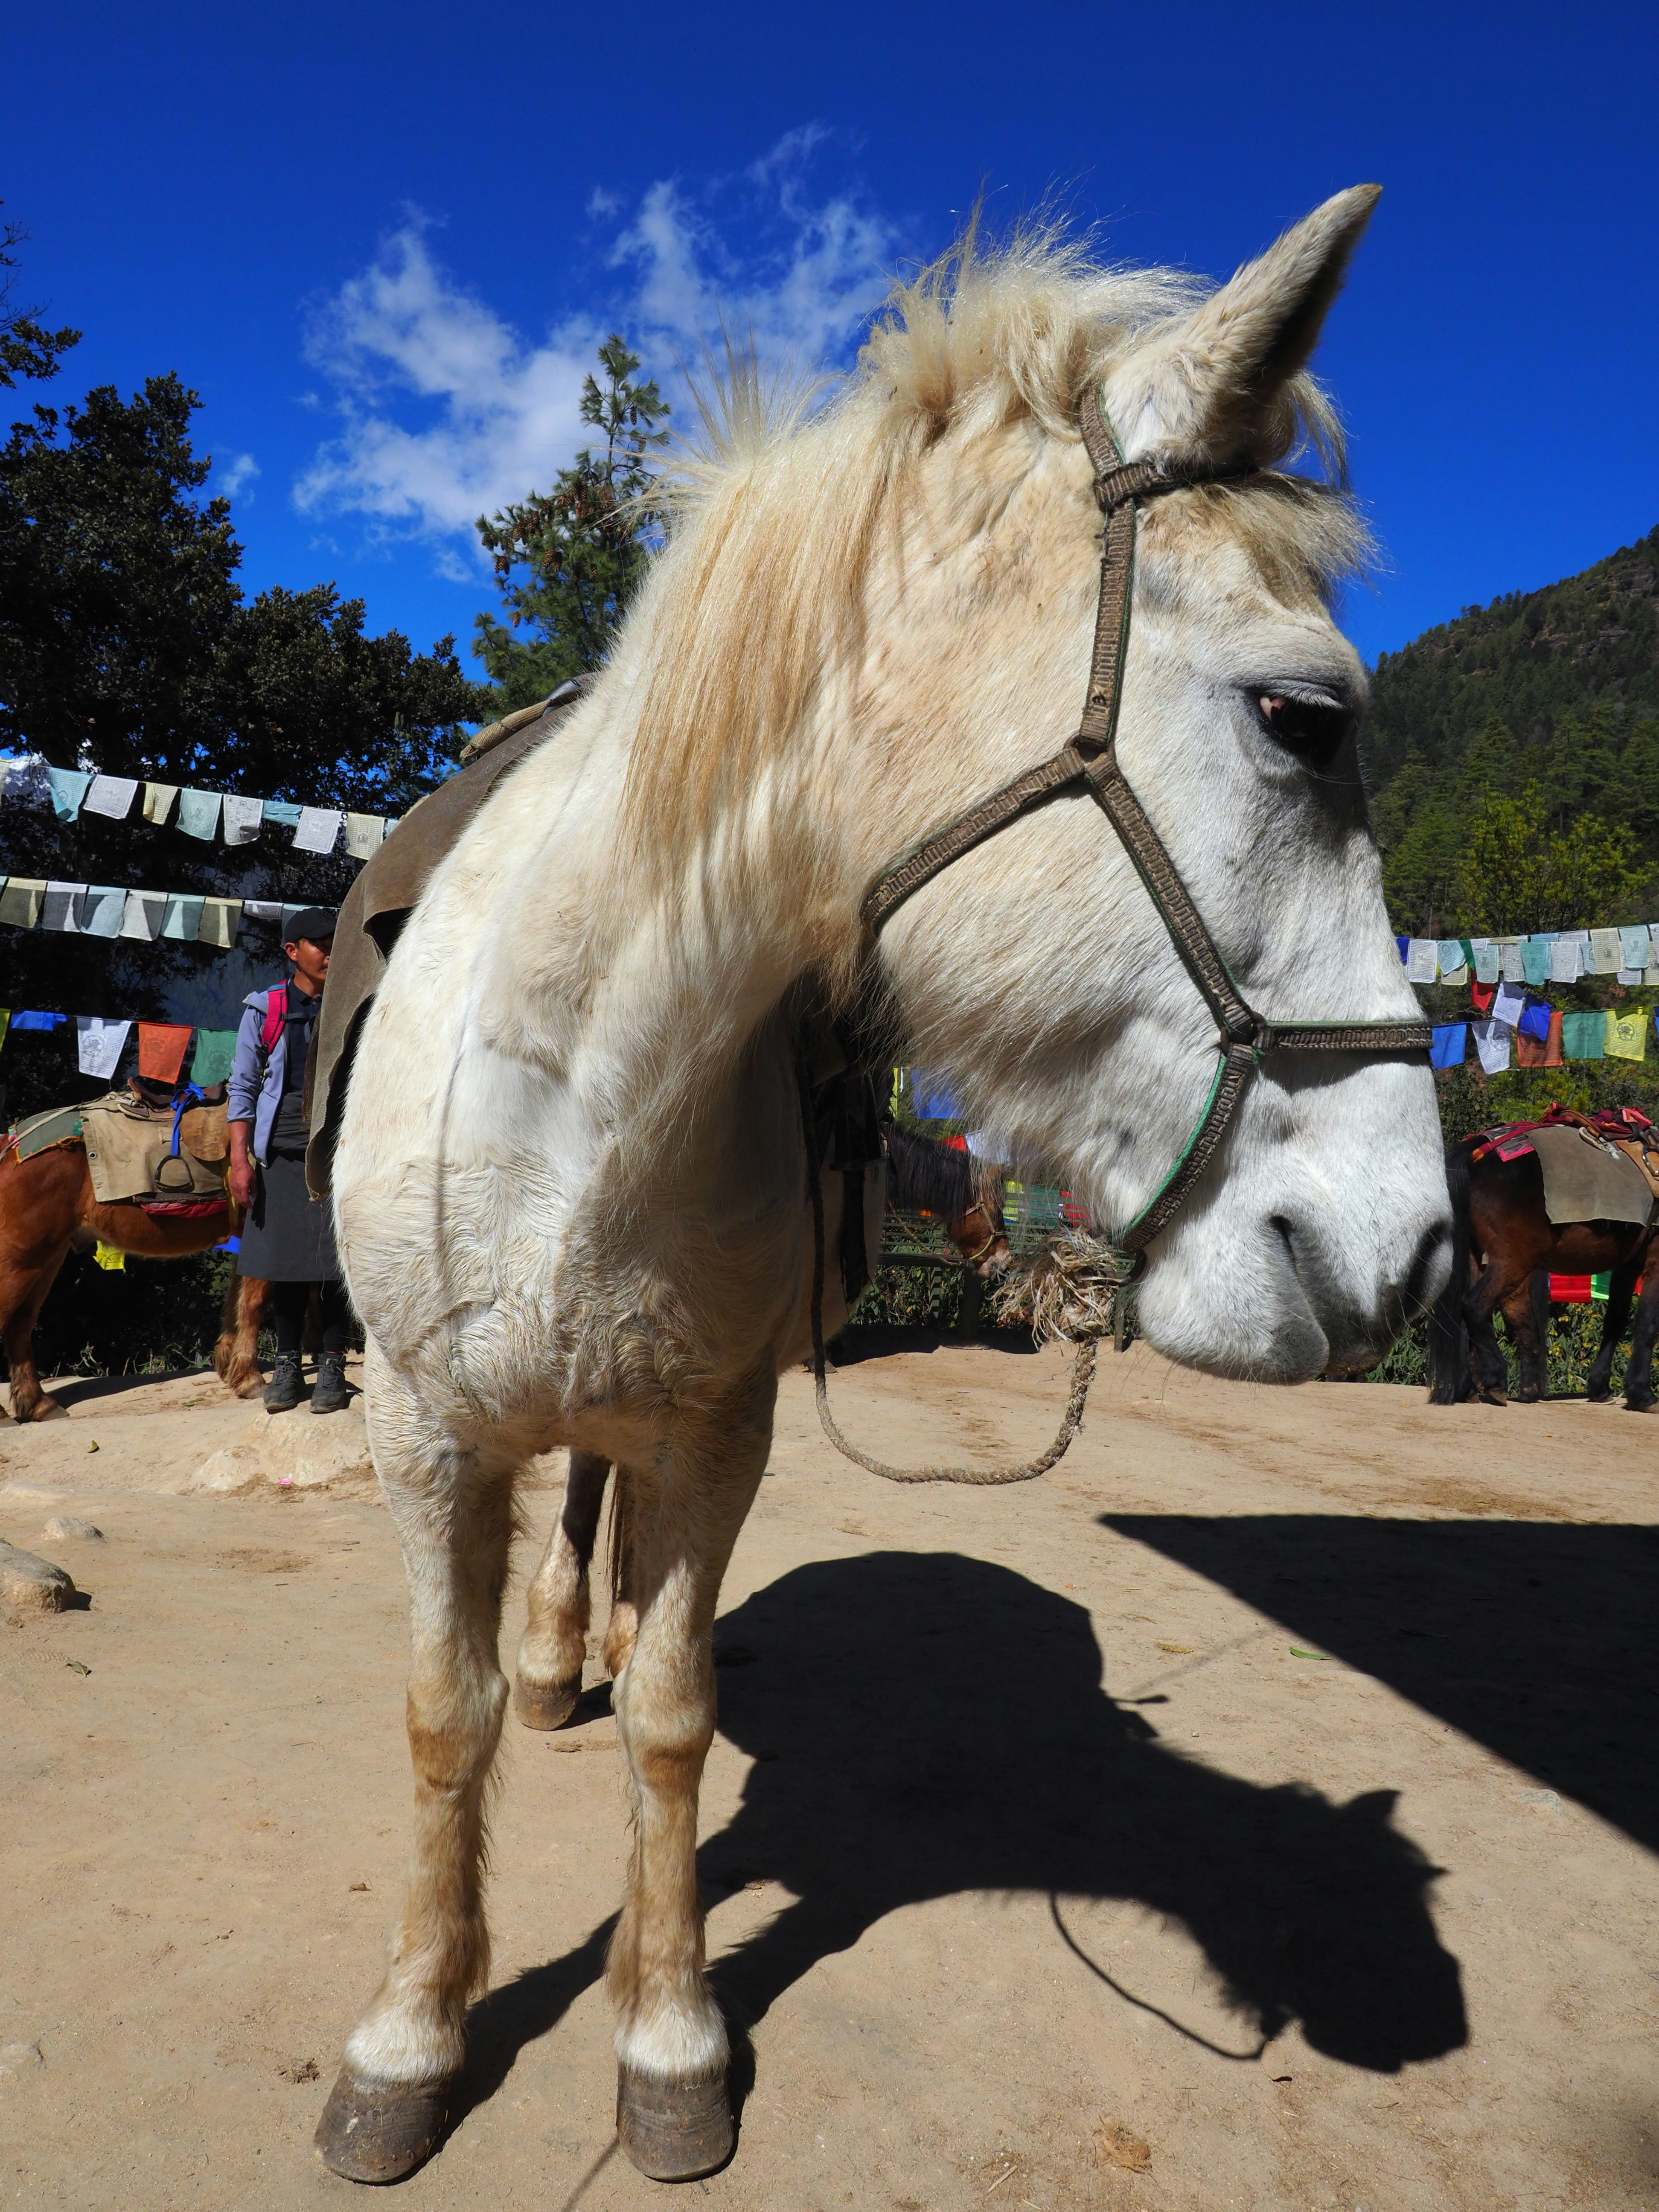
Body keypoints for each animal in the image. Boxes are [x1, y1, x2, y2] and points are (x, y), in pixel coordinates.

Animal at [318, 188, 1450, 2185]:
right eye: (1302, 716)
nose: (1416, 1248)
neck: (567, 1075)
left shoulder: (716, 1425)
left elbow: (674, 1718)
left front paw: (670, 2034)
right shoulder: (421, 1424)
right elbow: (439, 1719)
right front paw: (412, 2031)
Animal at [1427, 1134, 1659, 1410]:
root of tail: (1480, 1148)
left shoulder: (1627, 1266)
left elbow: (1615, 1322)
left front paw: (1601, 1387)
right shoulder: (1655, 1262)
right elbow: (1647, 1325)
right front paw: (1642, 1393)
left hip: (1478, 1257)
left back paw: (1476, 1388)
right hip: (1512, 1262)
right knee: (1475, 1306)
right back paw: (1496, 1378)